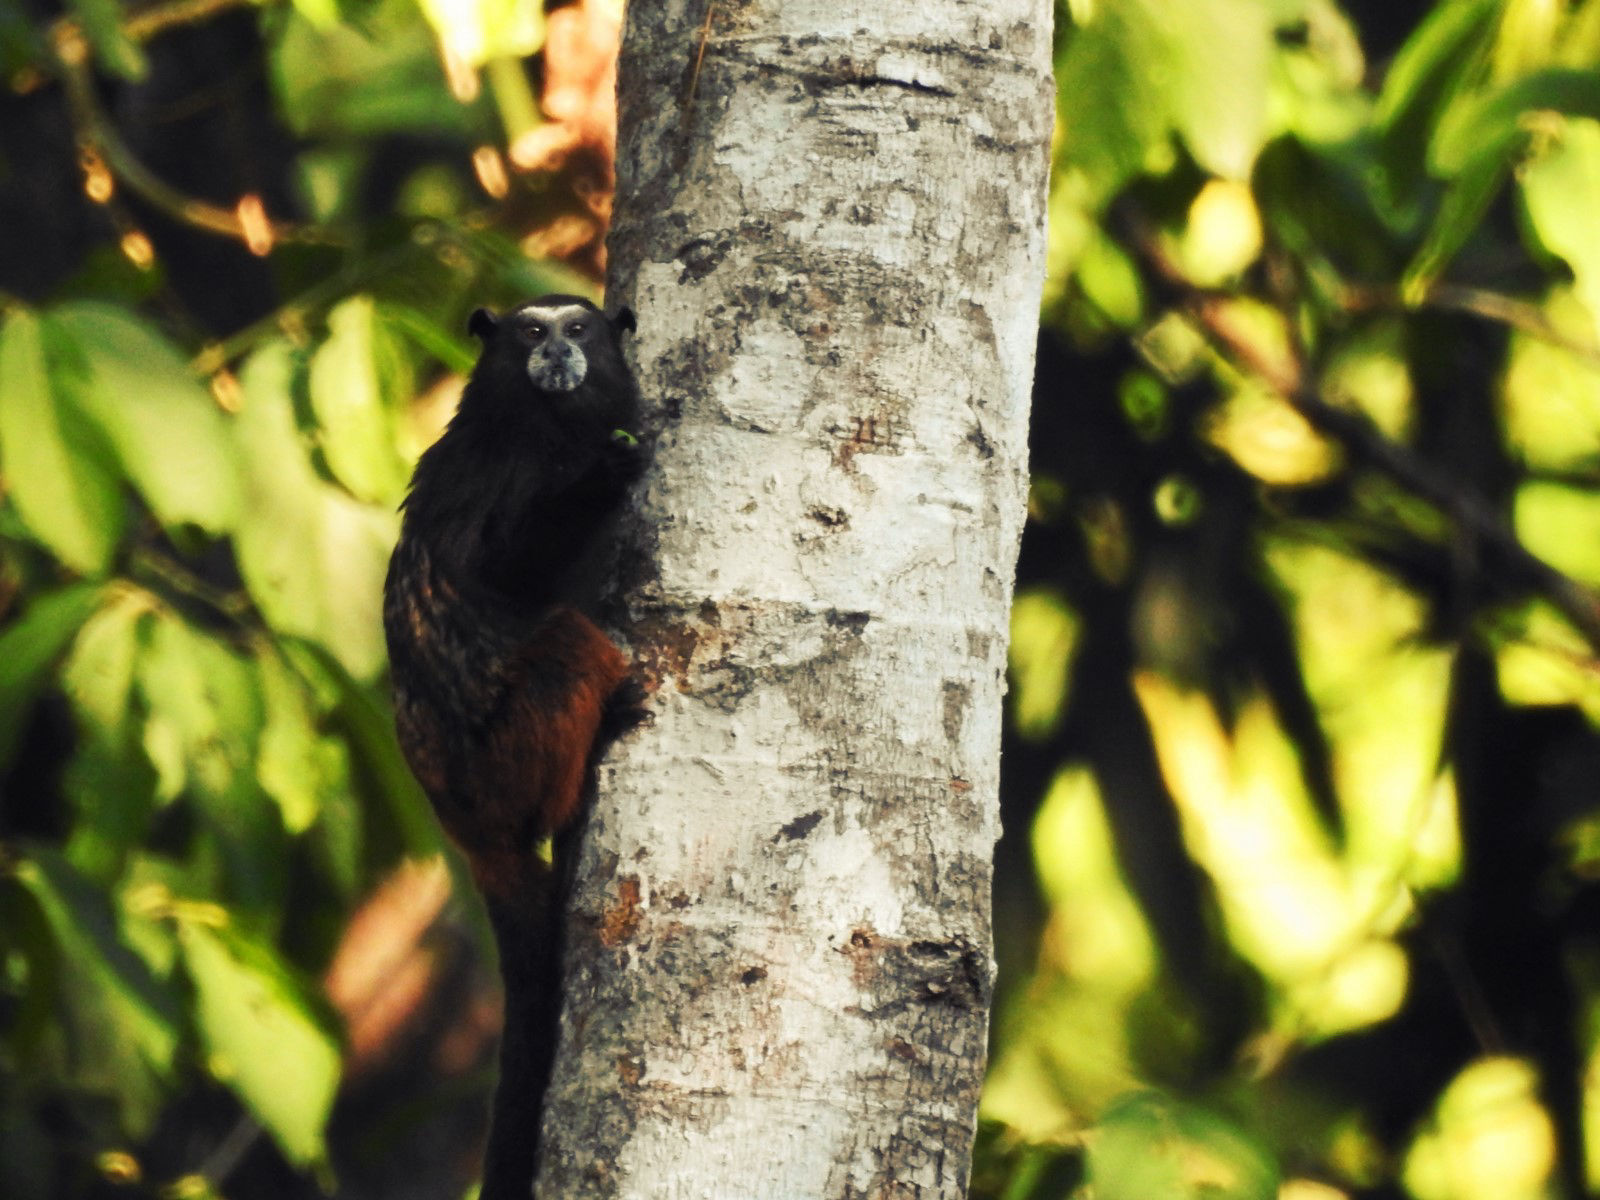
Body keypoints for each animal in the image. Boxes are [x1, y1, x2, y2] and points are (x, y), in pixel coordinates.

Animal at [381, 294, 645, 1200]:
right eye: (532, 332)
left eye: (580, 329)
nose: (557, 353)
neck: (546, 426)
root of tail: (462, 819)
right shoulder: (494, 473)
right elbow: (498, 575)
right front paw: (603, 476)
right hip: (504, 757)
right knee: (562, 637)